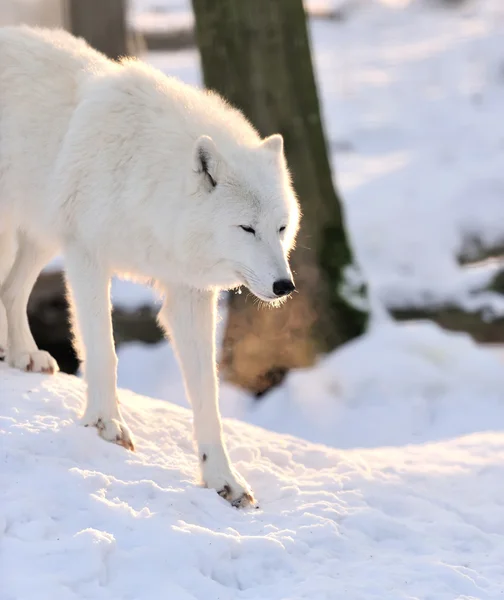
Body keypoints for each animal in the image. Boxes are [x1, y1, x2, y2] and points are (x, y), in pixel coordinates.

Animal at [0, 27, 300, 506]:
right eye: (246, 228)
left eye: (280, 228)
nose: (283, 286)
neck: (144, 182)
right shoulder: (87, 258)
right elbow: (104, 353)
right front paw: (106, 425)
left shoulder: (189, 294)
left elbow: (208, 395)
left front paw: (222, 478)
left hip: (41, 236)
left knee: (9, 290)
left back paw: (22, 355)